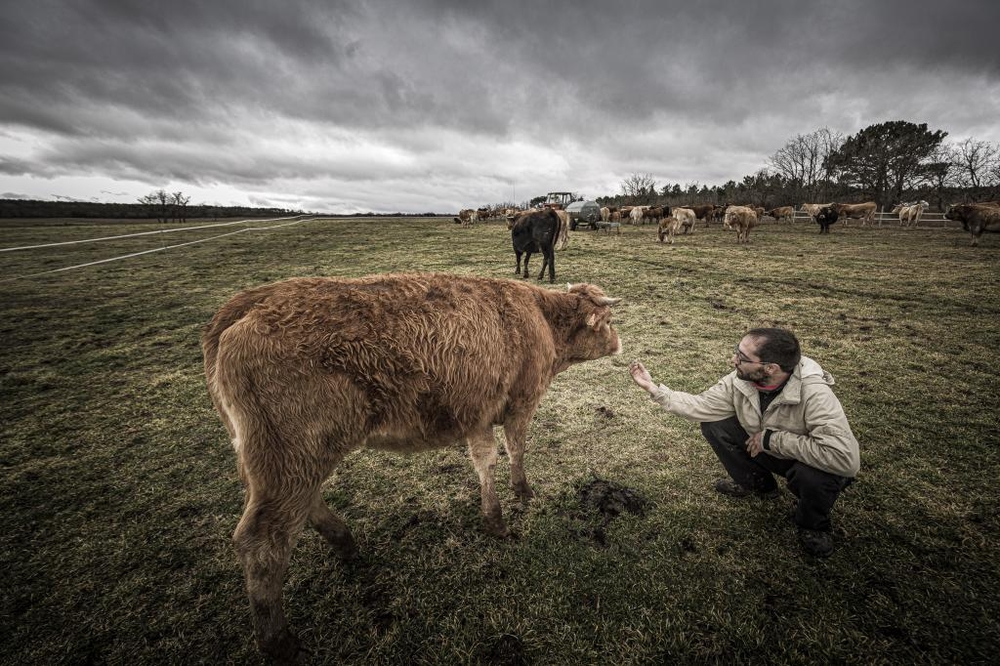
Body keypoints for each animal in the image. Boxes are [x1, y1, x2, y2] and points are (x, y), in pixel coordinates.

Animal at [202, 272, 616, 660]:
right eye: (610, 320)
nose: (619, 342)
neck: (539, 316)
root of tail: (249, 304)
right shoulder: (521, 403)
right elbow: (515, 449)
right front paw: (521, 493)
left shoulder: (478, 417)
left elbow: (484, 460)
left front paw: (493, 517)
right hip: (289, 459)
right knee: (262, 540)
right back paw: (279, 641)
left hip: (287, 462)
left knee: (304, 506)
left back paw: (345, 542)